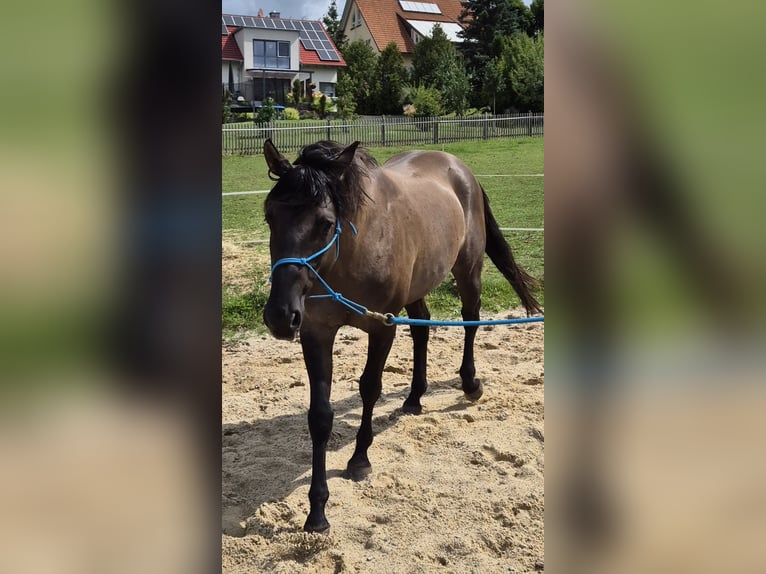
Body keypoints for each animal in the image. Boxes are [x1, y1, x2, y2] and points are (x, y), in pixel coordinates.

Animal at [261, 139, 542, 533]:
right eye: (270, 216)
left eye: (325, 223)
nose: (280, 316)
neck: (352, 252)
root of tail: (458, 167)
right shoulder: (316, 333)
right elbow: (320, 415)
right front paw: (317, 510)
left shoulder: (382, 327)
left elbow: (370, 388)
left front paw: (359, 458)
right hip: (418, 286)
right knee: (422, 327)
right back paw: (414, 397)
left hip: (468, 269)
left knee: (470, 318)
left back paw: (470, 383)